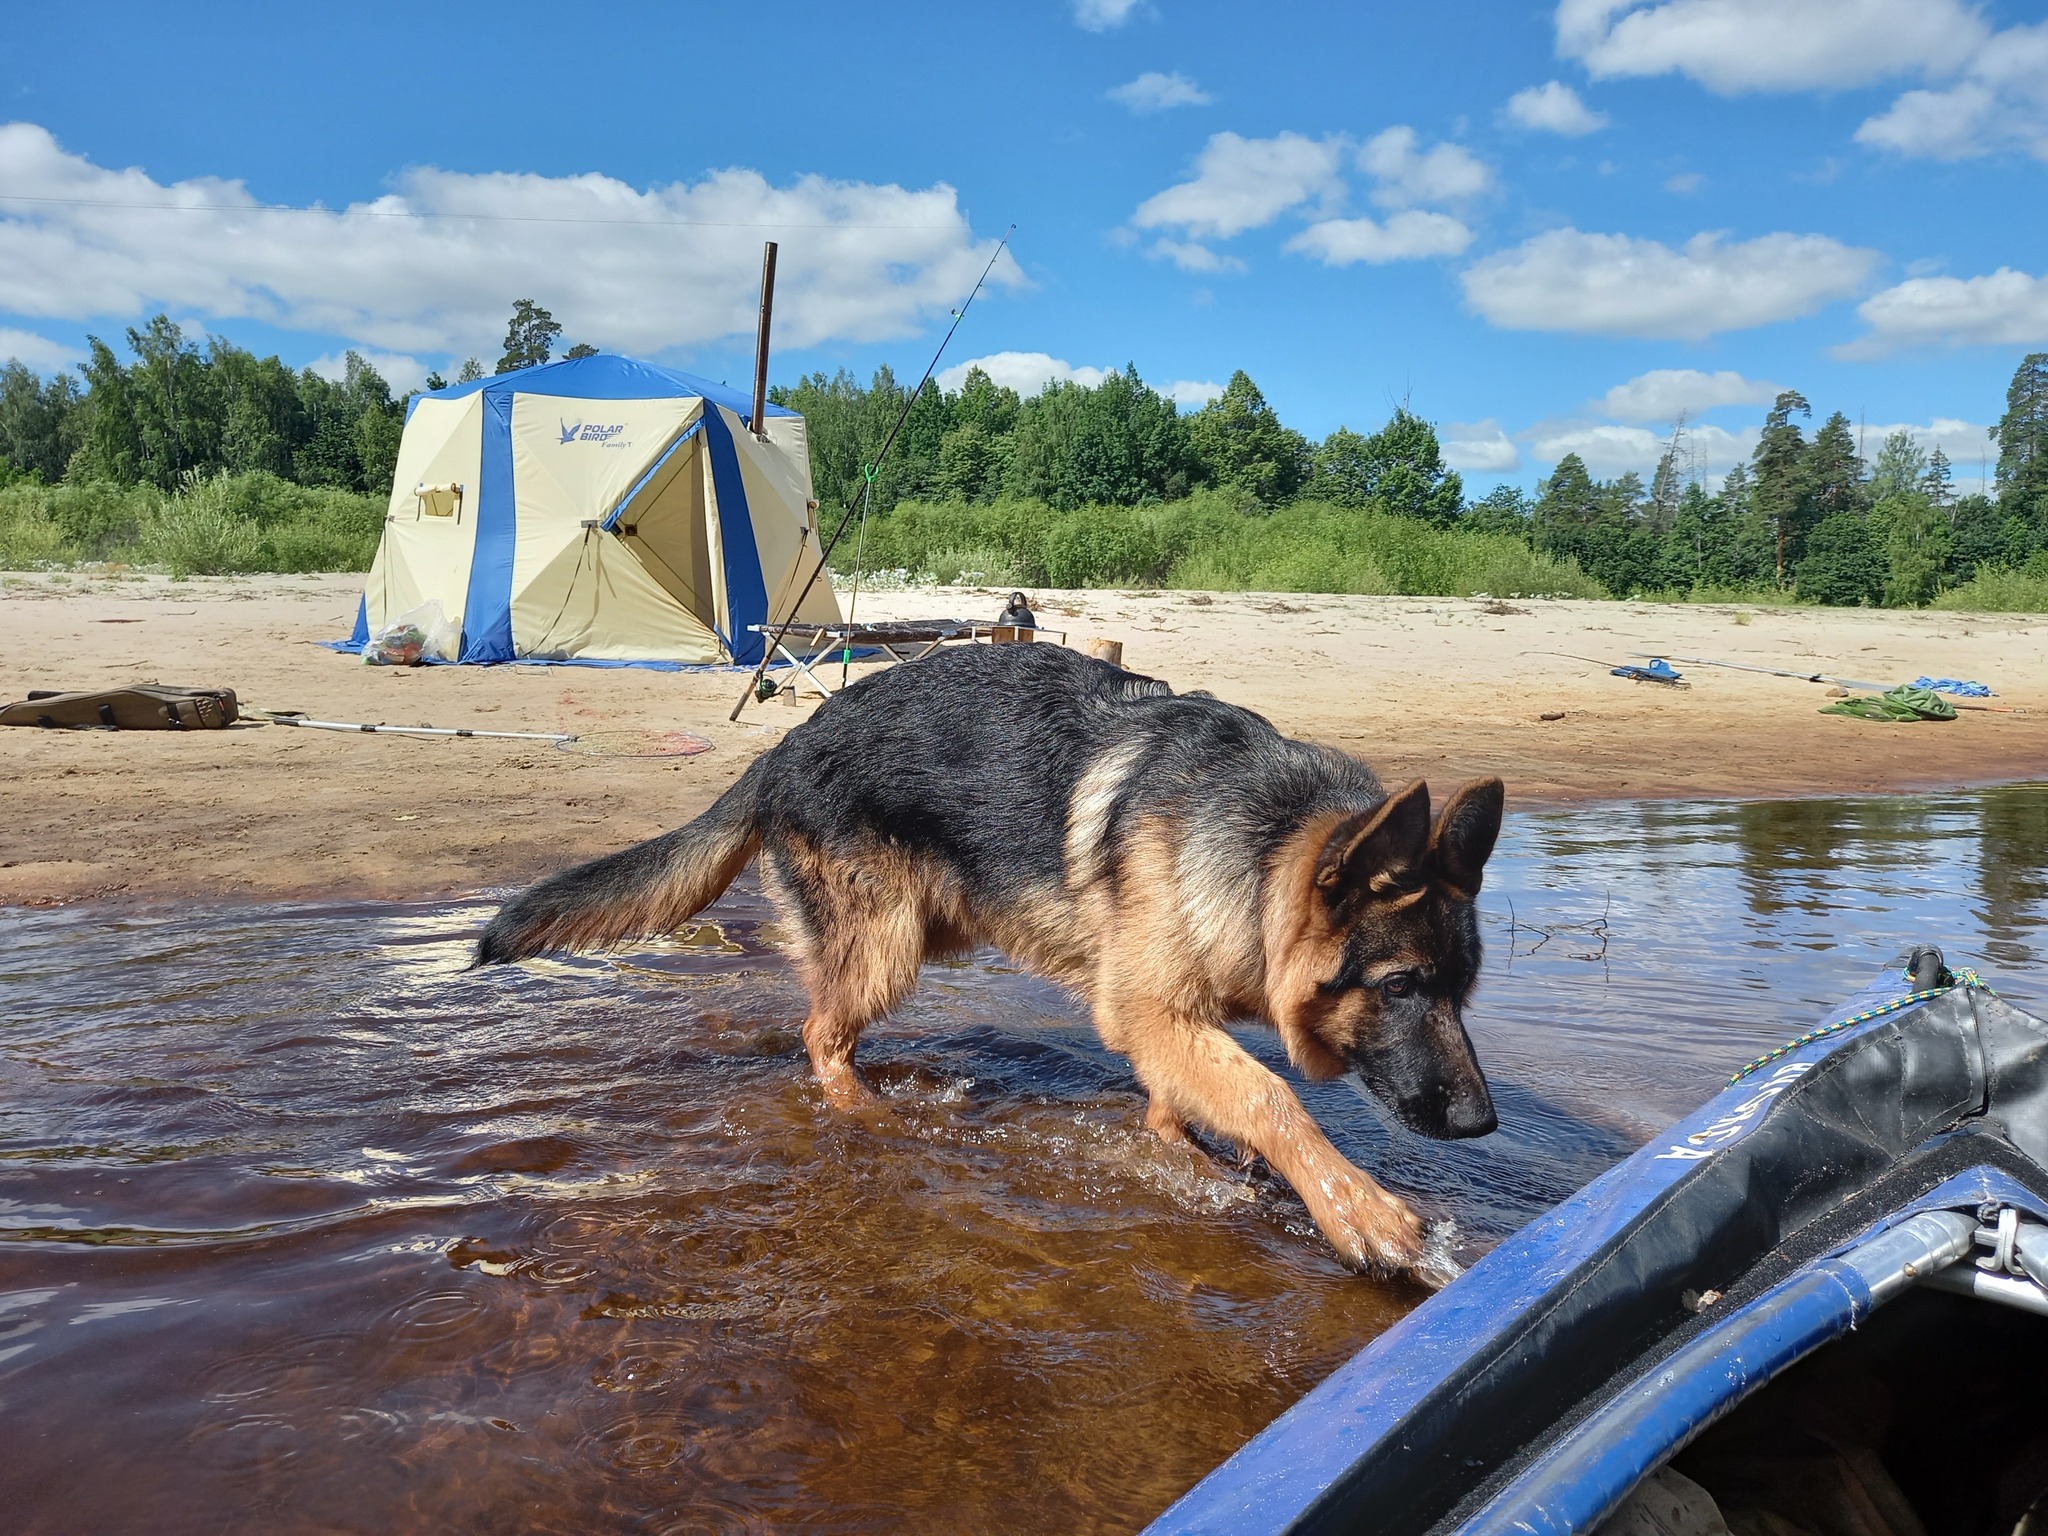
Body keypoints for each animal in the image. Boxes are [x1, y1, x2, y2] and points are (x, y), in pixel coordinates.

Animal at [479, 643, 1507, 1277]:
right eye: (1401, 986)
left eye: (1462, 992)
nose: (1481, 1124)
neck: (1259, 843)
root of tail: (781, 749)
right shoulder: (1148, 1011)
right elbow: (1271, 1097)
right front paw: (1361, 1210)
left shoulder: (1171, 1016)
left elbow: (1186, 1111)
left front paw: (1207, 1168)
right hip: (887, 948)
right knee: (818, 1035)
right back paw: (865, 1114)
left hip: (933, 925)